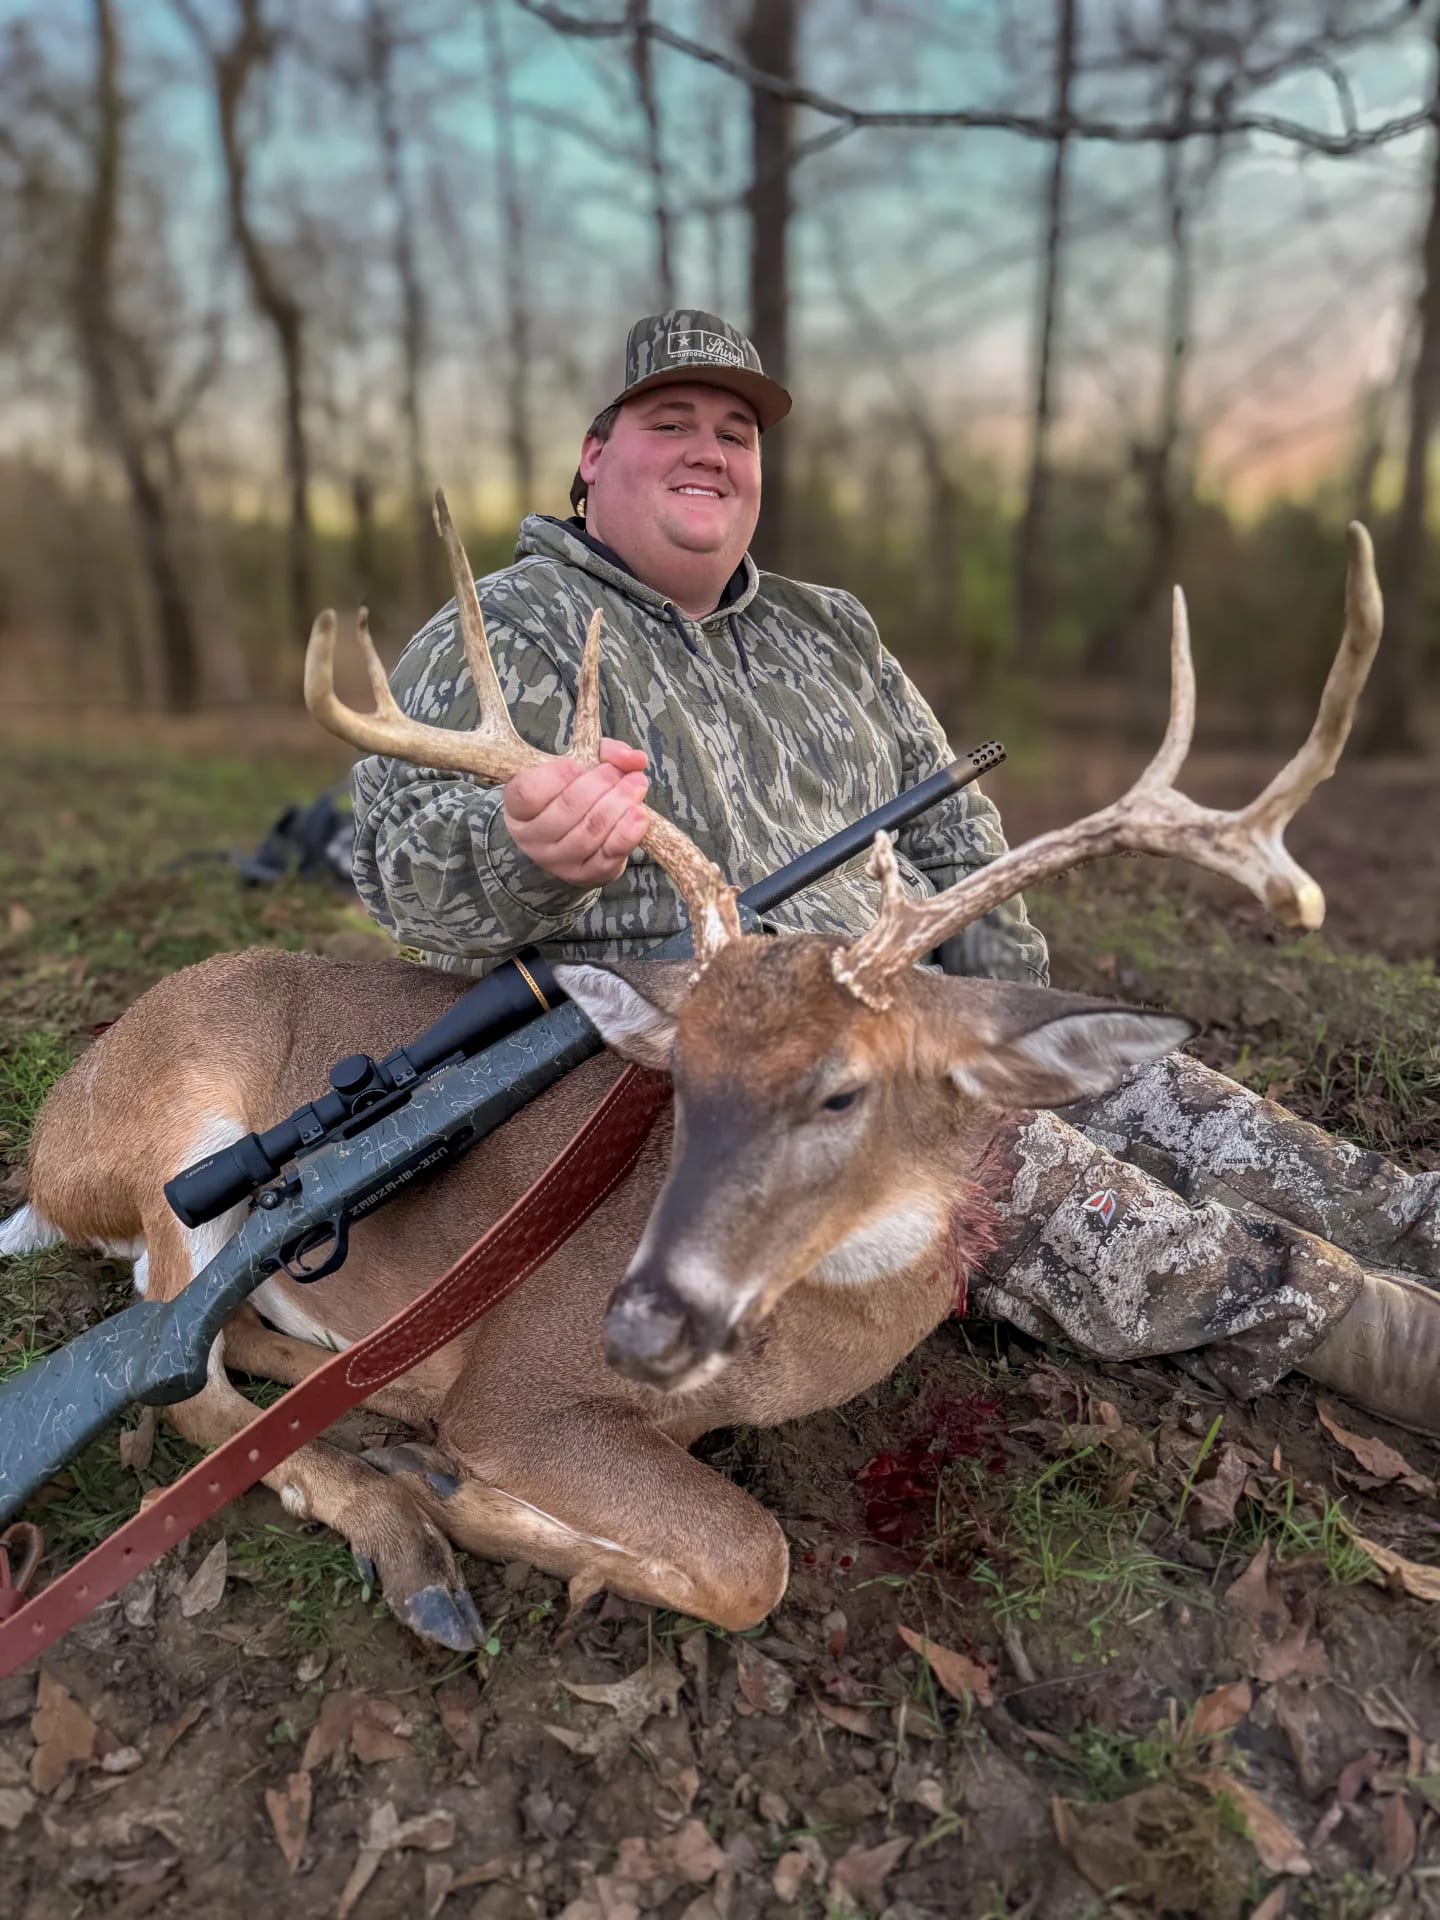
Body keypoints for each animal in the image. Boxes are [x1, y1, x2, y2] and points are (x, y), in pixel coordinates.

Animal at [0, 502, 1384, 1652]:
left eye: (843, 1091)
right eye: (684, 1074)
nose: (653, 1312)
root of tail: (47, 1156)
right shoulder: (526, 1385)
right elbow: (753, 1555)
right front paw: (458, 1491)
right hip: (182, 1127)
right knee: (183, 1378)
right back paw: (410, 1535)